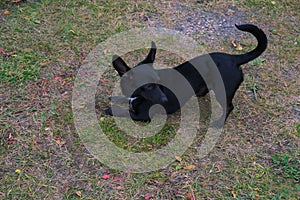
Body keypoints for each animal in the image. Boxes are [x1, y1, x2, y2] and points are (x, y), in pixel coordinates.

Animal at [105, 24, 268, 122]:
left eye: (158, 83)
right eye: (148, 86)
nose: (164, 100)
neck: (137, 95)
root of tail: (233, 58)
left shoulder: (143, 116)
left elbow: (123, 111)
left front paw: (110, 109)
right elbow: (123, 99)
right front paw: (115, 97)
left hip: (223, 92)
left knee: (229, 107)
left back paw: (218, 123)